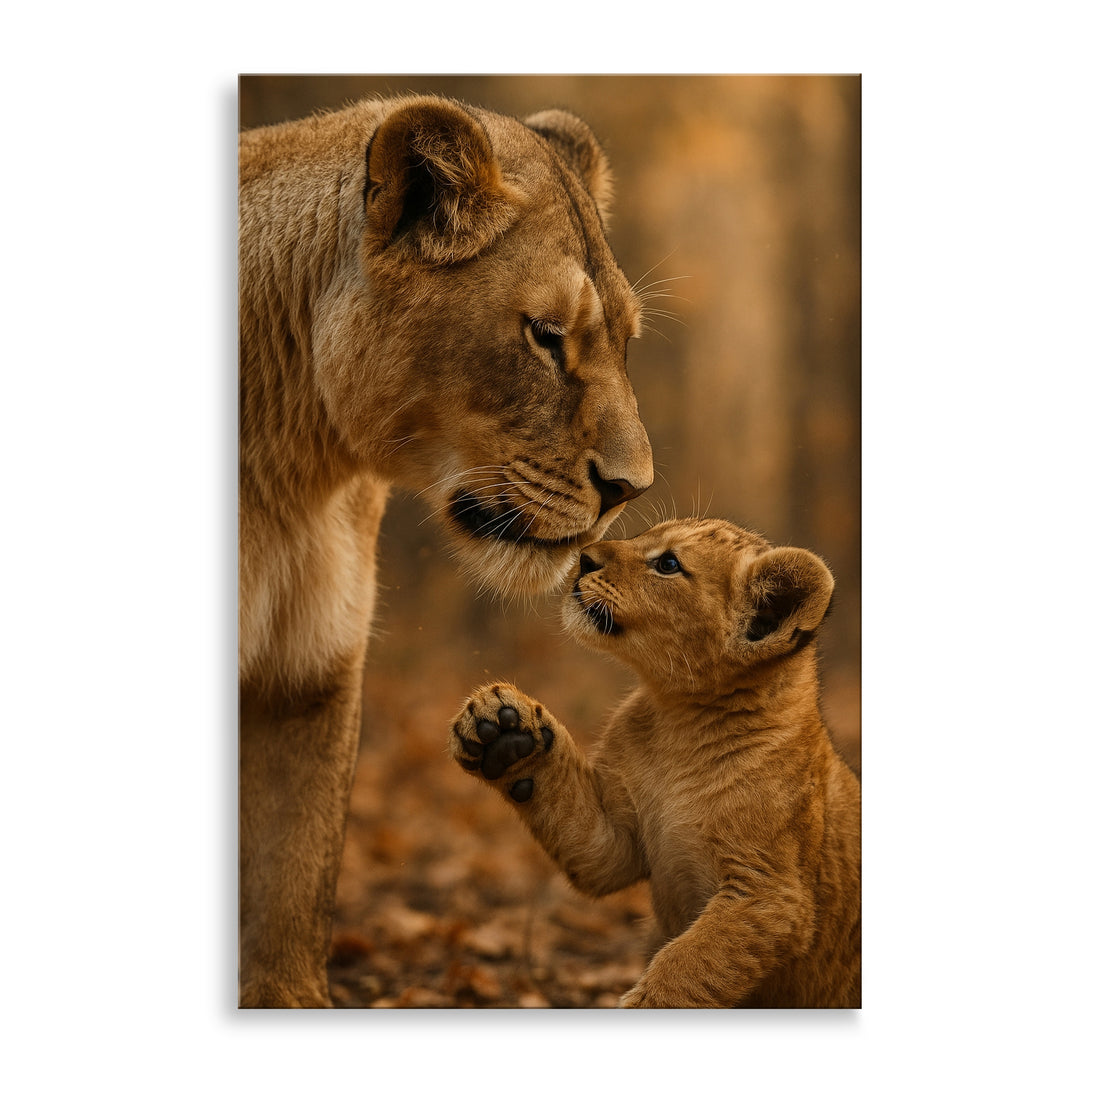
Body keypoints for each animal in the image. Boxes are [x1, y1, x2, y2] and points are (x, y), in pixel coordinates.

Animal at [239, 95, 653, 1007]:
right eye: (546, 335)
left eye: (626, 340)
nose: (632, 487)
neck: (293, 466)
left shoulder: (307, 673)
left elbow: (286, 893)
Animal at [449, 518, 860, 1008]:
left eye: (668, 564)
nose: (584, 558)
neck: (680, 722)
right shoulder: (616, 845)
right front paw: (502, 729)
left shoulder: (771, 894)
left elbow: (689, 962)